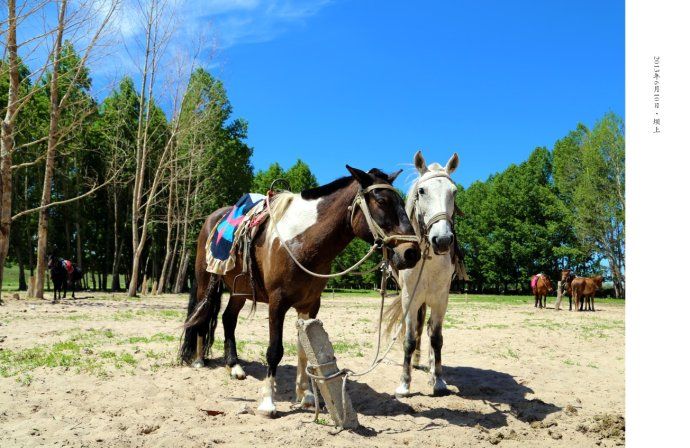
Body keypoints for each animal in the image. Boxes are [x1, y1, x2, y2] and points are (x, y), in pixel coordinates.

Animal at [179, 166, 420, 418]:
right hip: (206, 280)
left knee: (228, 319)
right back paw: (199, 360)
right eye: (382, 201)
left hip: (240, 291)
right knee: (201, 315)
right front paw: (268, 402)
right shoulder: (277, 303)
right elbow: (275, 350)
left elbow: (305, 350)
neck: (300, 241)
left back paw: (234, 366)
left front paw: (306, 395)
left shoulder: (310, 304)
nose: (412, 252)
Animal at [384, 150, 460, 396]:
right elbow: (409, 338)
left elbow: (436, 338)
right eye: (422, 191)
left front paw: (438, 380)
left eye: (454, 192)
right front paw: (404, 383)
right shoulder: (411, 297)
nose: (442, 240)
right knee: (417, 328)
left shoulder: (440, 299)